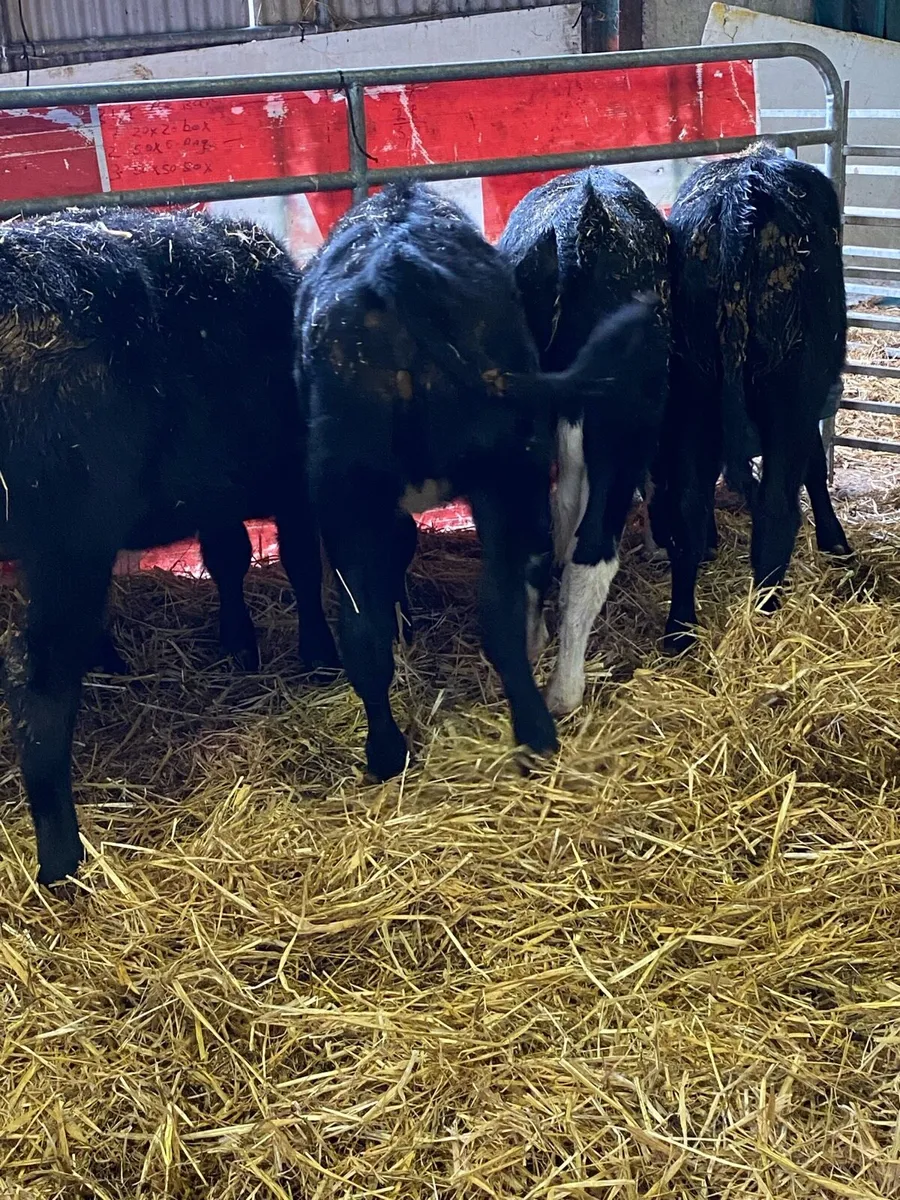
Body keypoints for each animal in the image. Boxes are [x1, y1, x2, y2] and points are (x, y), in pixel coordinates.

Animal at [0, 206, 337, 886]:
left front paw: (238, 641)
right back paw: (60, 855)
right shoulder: (291, 479)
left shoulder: (216, 488)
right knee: (37, 677)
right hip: (69, 538)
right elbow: (298, 562)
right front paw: (317, 654)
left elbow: (229, 556)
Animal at [649, 143, 851, 652]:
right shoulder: (807, 405)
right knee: (777, 506)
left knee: (688, 508)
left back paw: (680, 628)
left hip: (693, 392)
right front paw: (834, 540)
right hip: (789, 393)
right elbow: (814, 467)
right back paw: (765, 613)